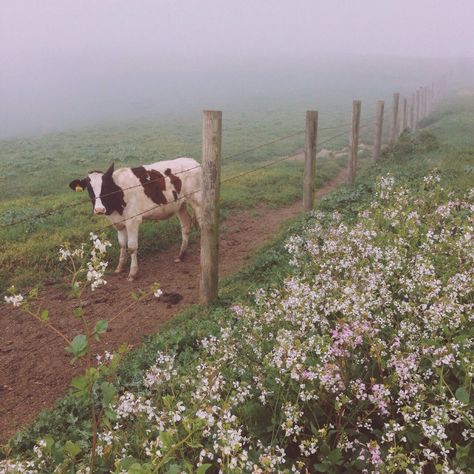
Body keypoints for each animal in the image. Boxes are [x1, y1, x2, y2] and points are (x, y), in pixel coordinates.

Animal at [70, 157, 202, 280]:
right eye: (89, 188)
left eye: (105, 186)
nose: (99, 209)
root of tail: (192, 161)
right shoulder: (119, 223)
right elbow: (122, 245)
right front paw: (120, 267)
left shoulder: (133, 221)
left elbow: (132, 247)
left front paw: (133, 273)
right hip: (180, 205)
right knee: (186, 225)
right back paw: (181, 256)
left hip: (197, 200)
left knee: (202, 225)